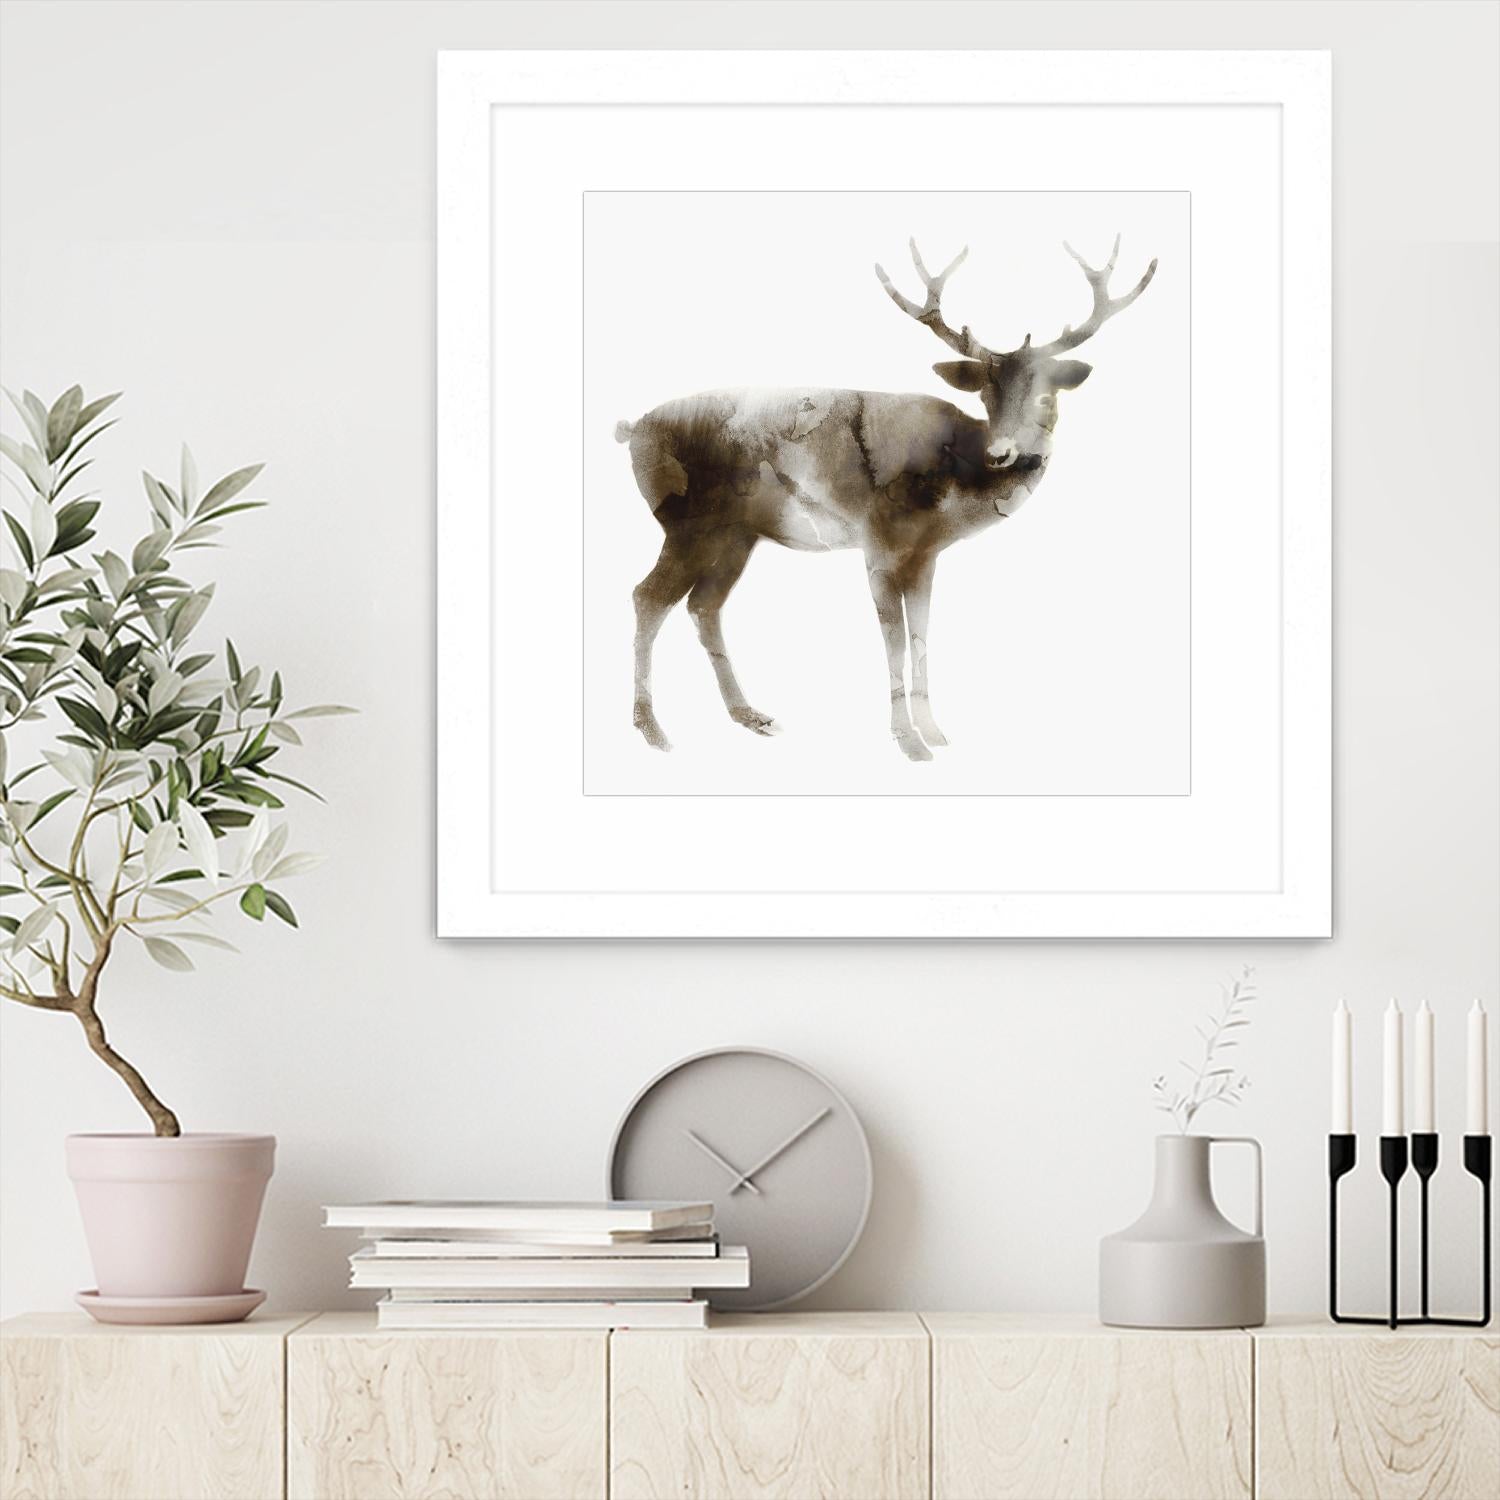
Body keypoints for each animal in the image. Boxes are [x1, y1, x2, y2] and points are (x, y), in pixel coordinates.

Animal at [615, 236, 1158, 761]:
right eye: (985, 394)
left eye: (1047, 395)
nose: (1002, 453)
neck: (952, 491)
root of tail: (632, 429)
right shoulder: (878, 544)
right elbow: (893, 640)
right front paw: (908, 741)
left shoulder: (926, 556)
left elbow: (921, 634)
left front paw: (934, 731)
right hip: (687, 523)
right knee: (648, 596)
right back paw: (652, 730)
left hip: (736, 535)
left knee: (704, 606)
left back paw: (750, 715)